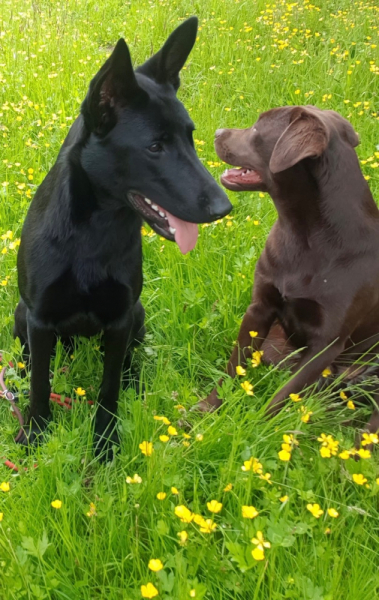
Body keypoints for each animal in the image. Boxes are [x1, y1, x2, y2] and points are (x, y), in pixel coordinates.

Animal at [14, 18, 232, 460]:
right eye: (155, 146)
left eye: (190, 136)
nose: (224, 207)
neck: (93, 231)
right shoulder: (39, 319)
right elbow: (41, 385)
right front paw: (36, 433)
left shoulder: (119, 319)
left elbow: (109, 387)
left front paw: (105, 443)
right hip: (18, 314)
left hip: (138, 314)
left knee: (129, 363)